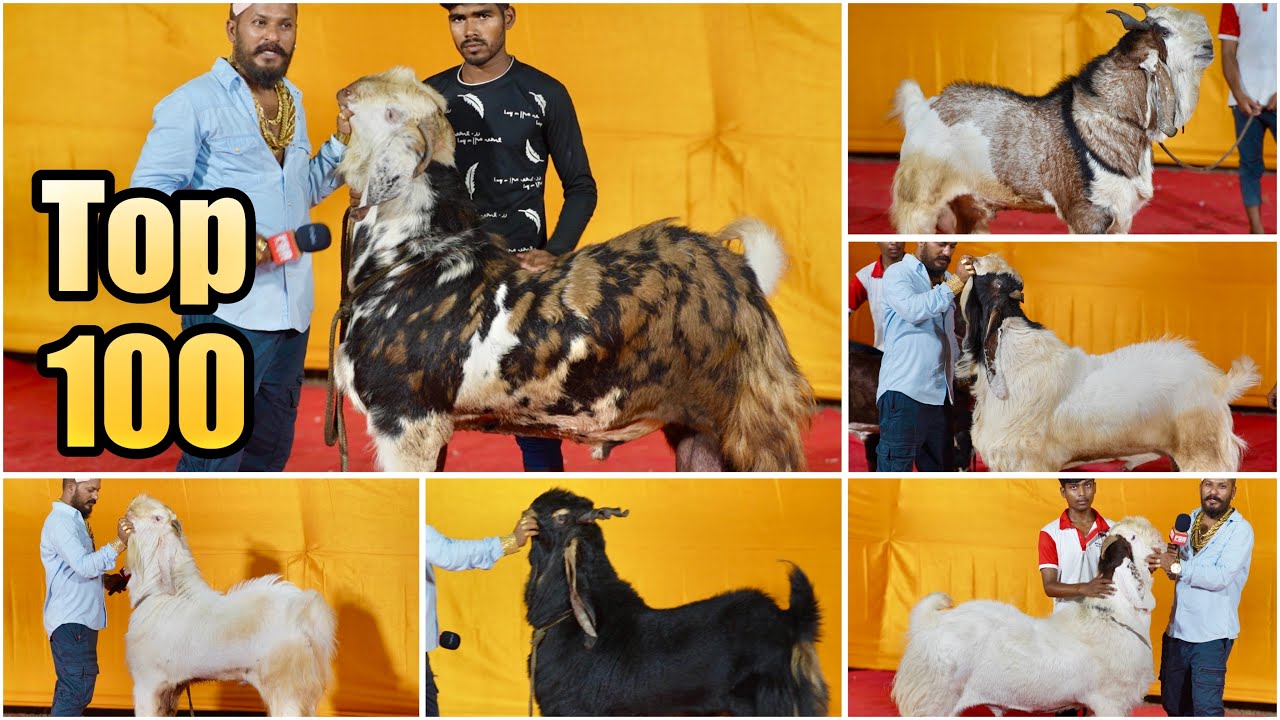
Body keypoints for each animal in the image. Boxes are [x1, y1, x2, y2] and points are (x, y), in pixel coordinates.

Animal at [122, 494, 336, 716]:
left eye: (156, 518)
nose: (134, 503)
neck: (161, 593)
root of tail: (305, 613)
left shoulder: (146, 683)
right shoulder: (171, 690)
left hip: (286, 688)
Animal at [331, 67, 813, 472]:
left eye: (391, 112)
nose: (346, 91)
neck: (410, 258)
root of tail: (744, 273)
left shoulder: (406, 418)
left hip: (756, 422)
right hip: (699, 434)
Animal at [890, 4, 1214, 234]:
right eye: (1164, 31)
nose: (1209, 46)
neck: (1112, 116)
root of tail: (922, 108)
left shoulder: (1120, 218)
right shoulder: (1087, 215)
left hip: (967, 206)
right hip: (917, 203)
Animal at [893, 516, 1162, 716]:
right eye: (1133, 537)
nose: (1158, 537)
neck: (1114, 614)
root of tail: (928, 623)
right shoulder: (1110, 701)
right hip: (934, 700)